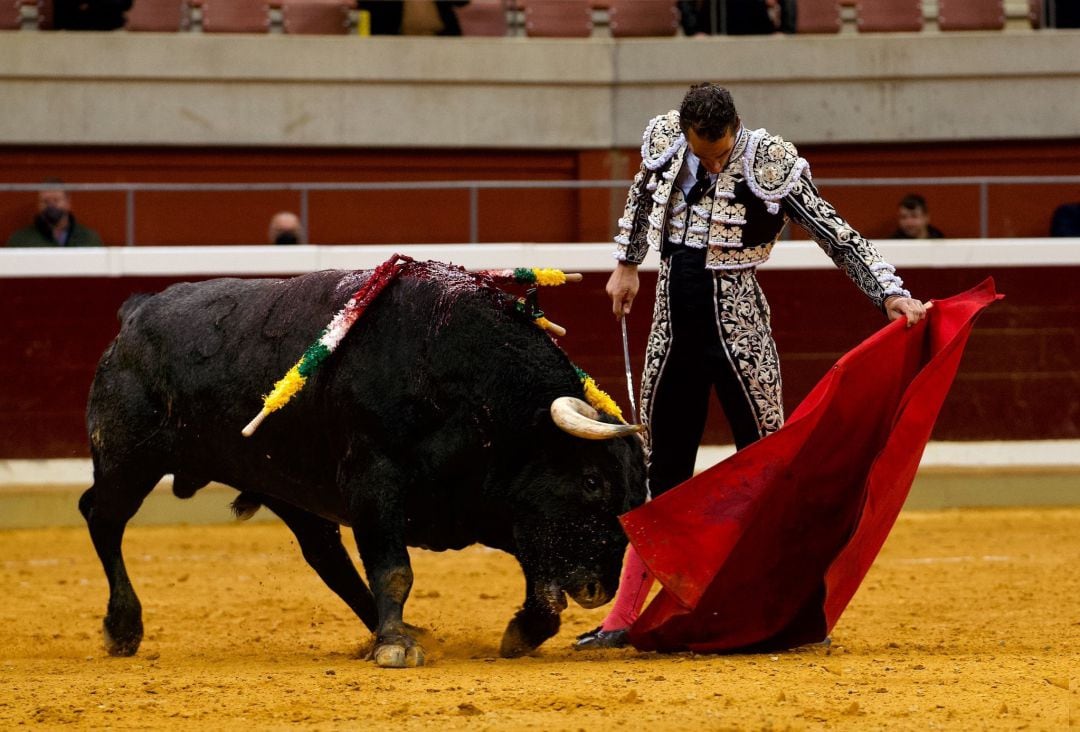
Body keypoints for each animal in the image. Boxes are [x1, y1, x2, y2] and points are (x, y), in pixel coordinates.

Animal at [82, 261, 648, 669]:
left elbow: (540, 586)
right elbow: (394, 570)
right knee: (102, 516)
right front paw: (397, 647)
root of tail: (136, 313)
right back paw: (123, 628)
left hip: (286, 488)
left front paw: (518, 633)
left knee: (325, 555)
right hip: (129, 460)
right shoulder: (375, 485)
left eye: (633, 497)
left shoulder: (494, 508)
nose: (598, 590)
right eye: (591, 480)